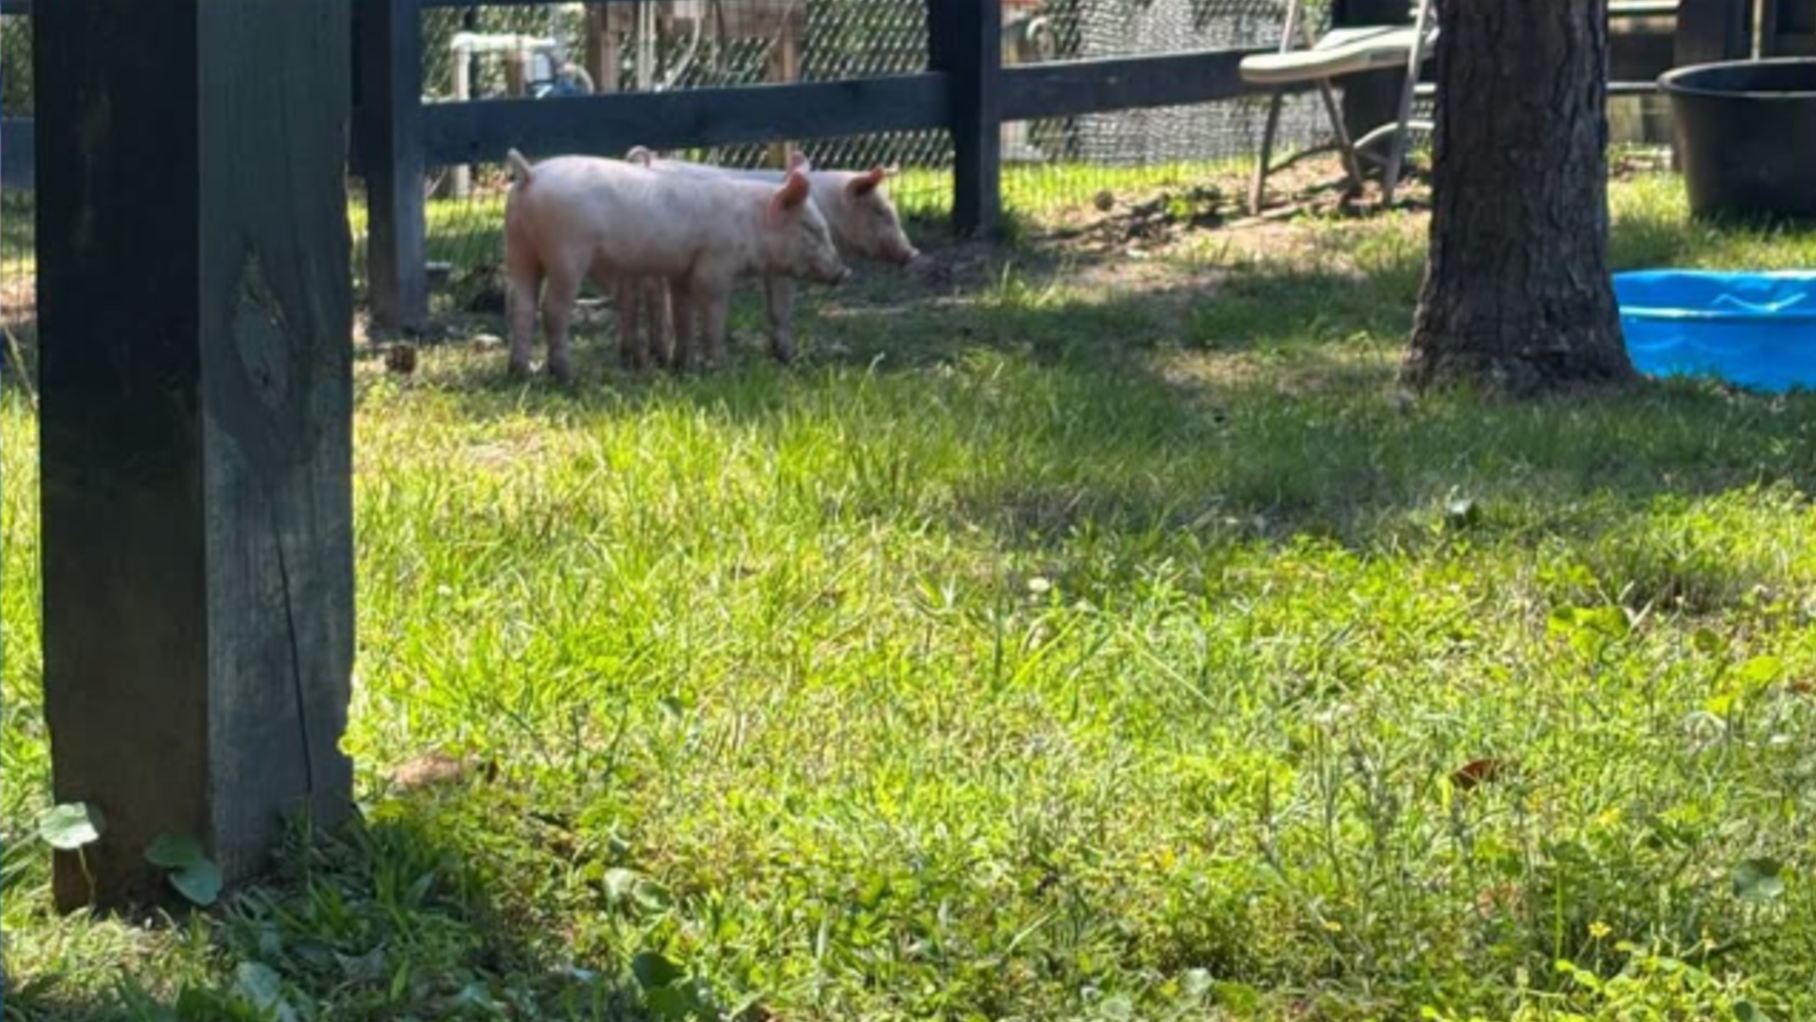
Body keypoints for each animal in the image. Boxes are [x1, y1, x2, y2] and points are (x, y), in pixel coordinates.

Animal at [503, 149, 848, 379]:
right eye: (812, 230)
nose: (843, 272)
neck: (749, 222)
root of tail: (531, 175)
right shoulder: (715, 266)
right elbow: (712, 317)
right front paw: (719, 367)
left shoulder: (682, 273)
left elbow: (683, 316)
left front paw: (683, 366)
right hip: (567, 252)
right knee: (553, 308)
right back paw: (565, 375)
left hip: (518, 248)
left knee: (520, 303)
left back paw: (521, 372)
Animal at [625, 147, 920, 363]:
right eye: (879, 211)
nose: (913, 253)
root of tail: (643, 164)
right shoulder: (783, 266)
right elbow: (781, 309)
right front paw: (789, 358)